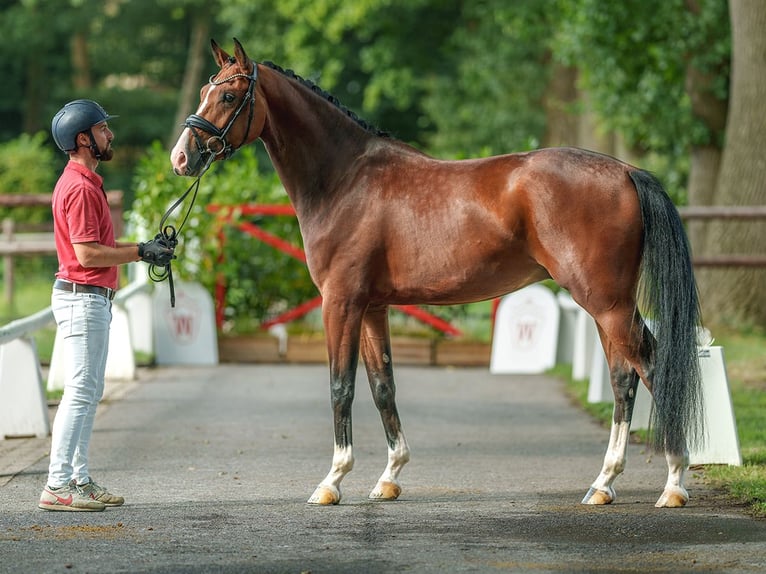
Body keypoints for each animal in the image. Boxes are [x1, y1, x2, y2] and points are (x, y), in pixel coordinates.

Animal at [171, 39, 704, 508]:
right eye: (203, 91)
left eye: (230, 96)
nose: (181, 158)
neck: (344, 179)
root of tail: (626, 171)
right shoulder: (372, 307)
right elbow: (382, 386)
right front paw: (389, 477)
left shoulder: (339, 303)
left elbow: (341, 387)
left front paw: (331, 482)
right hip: (607, 305)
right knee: (625, 377)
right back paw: (606, 484)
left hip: (606, 303)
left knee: (648, 369)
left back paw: (671, 484)